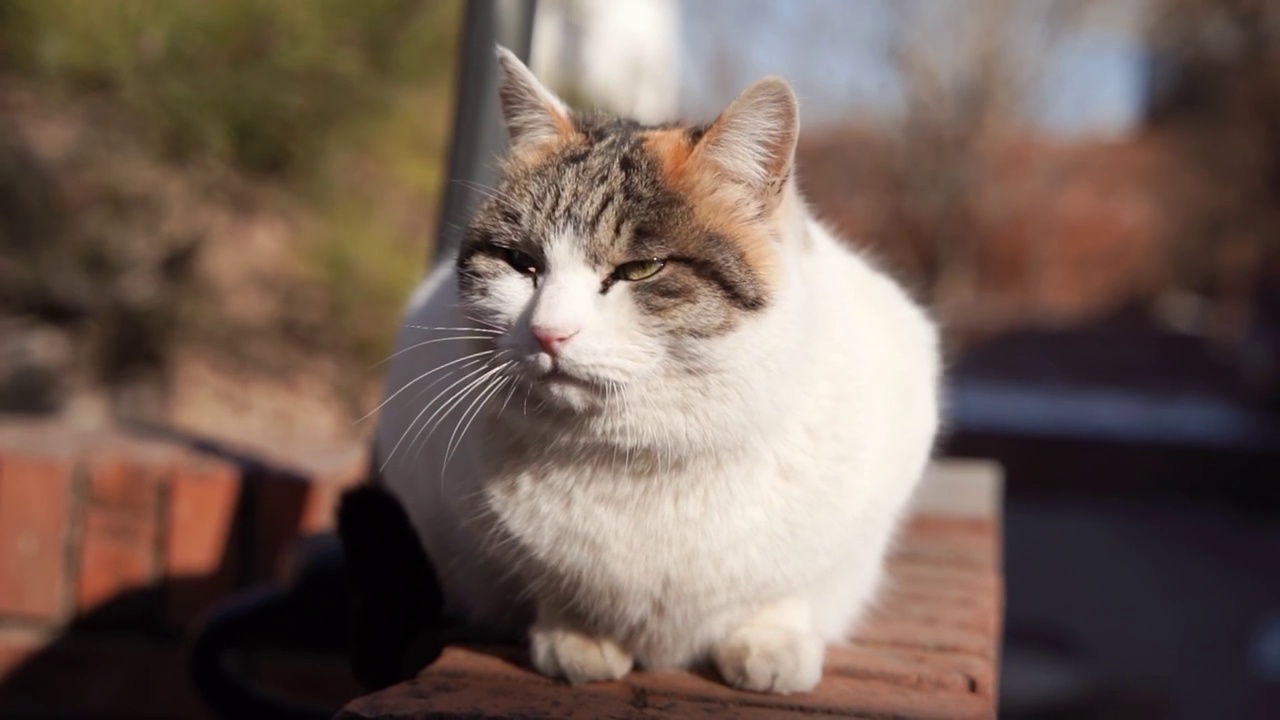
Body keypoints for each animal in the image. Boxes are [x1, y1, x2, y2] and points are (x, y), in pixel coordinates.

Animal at [371, 46, 942, 696]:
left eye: (640, 269)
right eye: (521, 262)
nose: (548, 331)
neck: (646, 457)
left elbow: (788, 589)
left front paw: (770, 640)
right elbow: (553, 585)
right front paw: (577, 635)